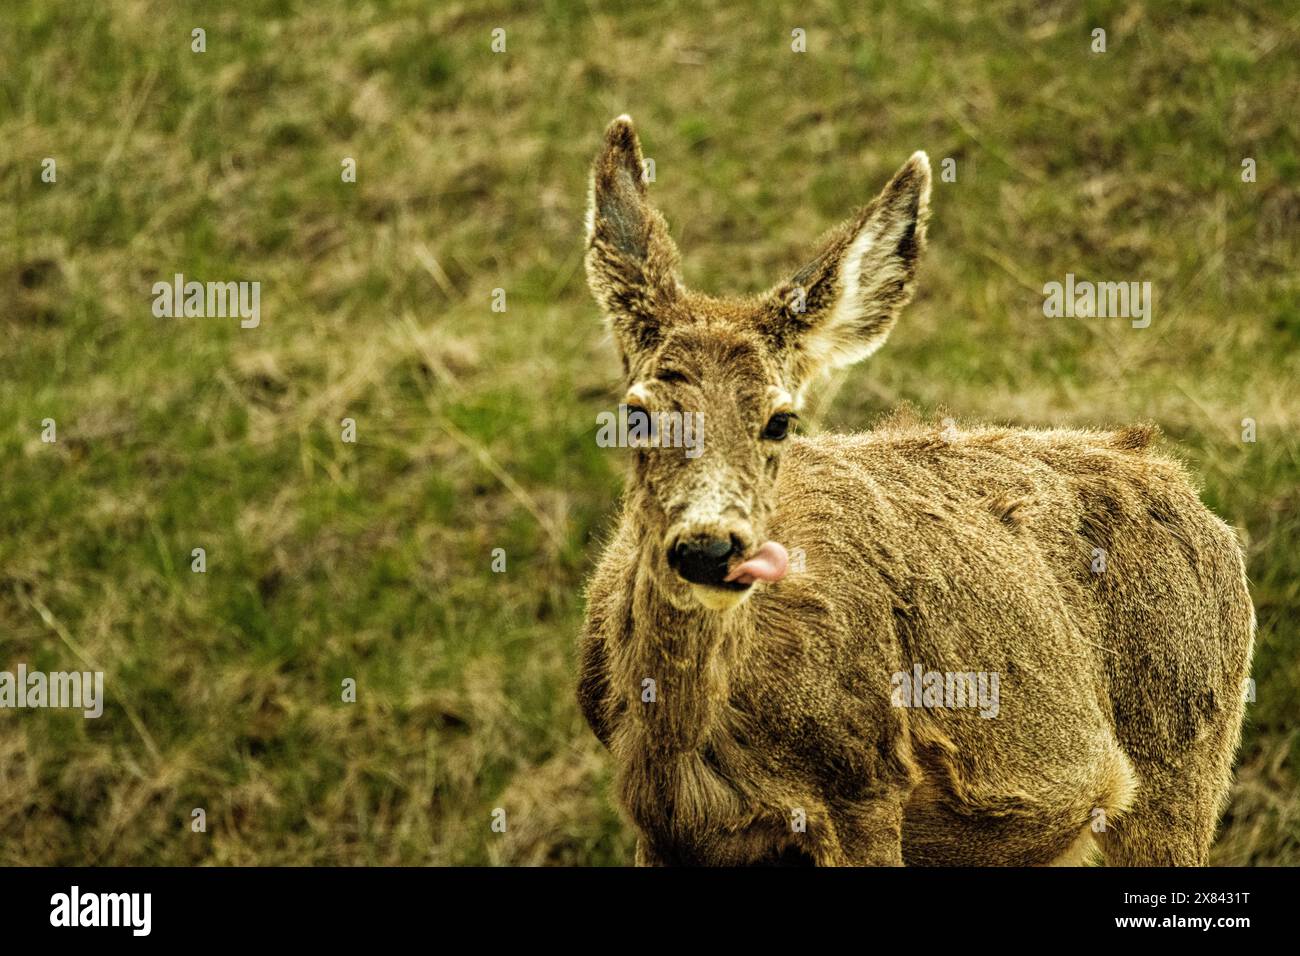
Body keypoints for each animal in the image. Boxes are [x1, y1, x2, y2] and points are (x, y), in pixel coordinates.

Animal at [574, 113, 1253, 868]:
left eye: (780, 420)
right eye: (637, 413)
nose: (709, 546)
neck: (688, 745)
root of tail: (1195, 500)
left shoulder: (866, 789)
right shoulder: (661, 829)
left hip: (1181, 766)